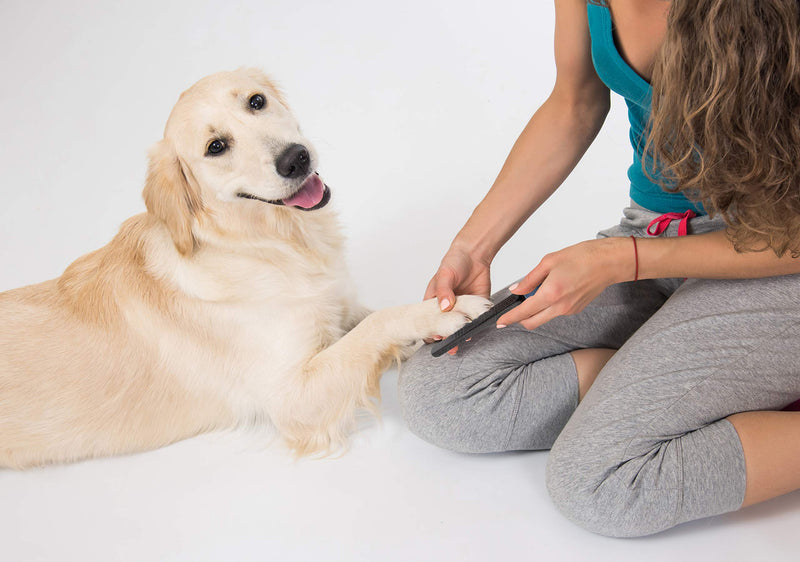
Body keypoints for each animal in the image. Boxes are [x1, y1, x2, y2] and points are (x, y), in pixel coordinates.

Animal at [0, 68, 490, 466]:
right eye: (216, 147)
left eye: (256, 101)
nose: (296, 158)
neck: (274, 244)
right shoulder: (290, 397)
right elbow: (377, 327)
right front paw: (443, 312)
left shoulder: (338, 308)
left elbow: (371, 319)